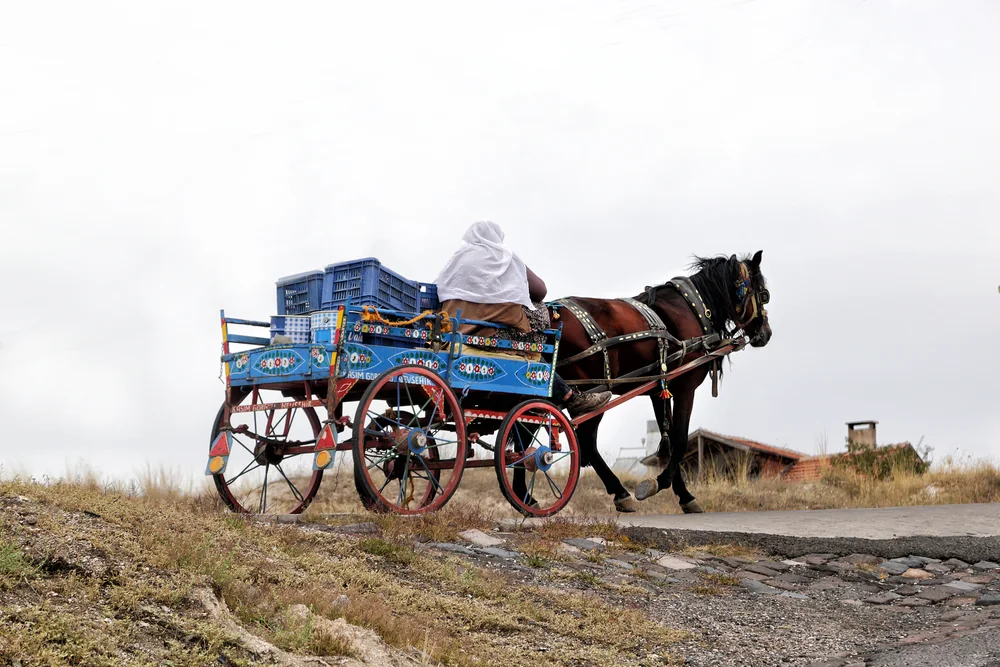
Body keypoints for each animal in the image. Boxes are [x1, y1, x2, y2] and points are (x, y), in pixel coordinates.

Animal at [553, 251, 772, 513]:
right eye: (763, 294)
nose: (766, 334)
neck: (694, 308)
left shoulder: (660, 390)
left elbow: (667, 440)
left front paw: (682, 493)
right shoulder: (685, 386)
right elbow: (679, 439)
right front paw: (662, 484)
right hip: (595, 393)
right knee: (586, 442)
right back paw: (620, 492)